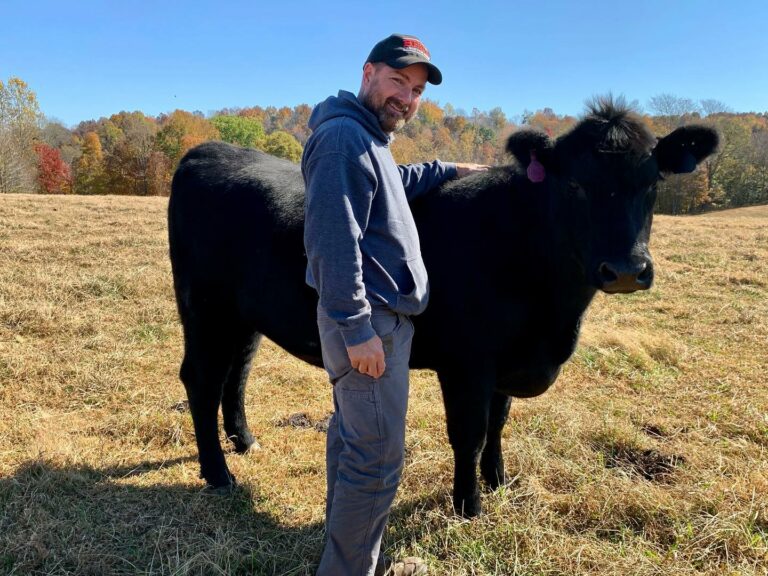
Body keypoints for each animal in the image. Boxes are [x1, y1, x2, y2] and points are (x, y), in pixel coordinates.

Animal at [166, 99, 712, 516]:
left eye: (653, 183)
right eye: (575, 184)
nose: (626, 269)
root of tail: (210, 149)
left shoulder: (504, 363)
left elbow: (499, 421)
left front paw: (499, 480)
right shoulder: (467, 363)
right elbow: (469, 433)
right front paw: (469, 506)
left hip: (244, 318)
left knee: (236, 373)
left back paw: (244, 440)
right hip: (204, 310)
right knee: (201, 378)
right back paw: (218, 472)